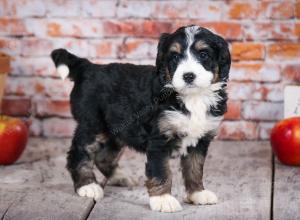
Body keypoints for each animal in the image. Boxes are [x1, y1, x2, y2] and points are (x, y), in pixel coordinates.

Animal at [50, 24, 231, 212]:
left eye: (203, 54)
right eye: (174, 56)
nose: (188, 76)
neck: (193, 98)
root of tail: (89, 67)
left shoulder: (200, 139)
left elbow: (195, 167)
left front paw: (198, 193)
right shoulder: (159, 138)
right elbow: (161, 170)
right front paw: (163, 199)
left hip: (116, 129)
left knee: (103, 156)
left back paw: (119, 177)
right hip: (92, 124)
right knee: (79, 152)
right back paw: (88, 186)